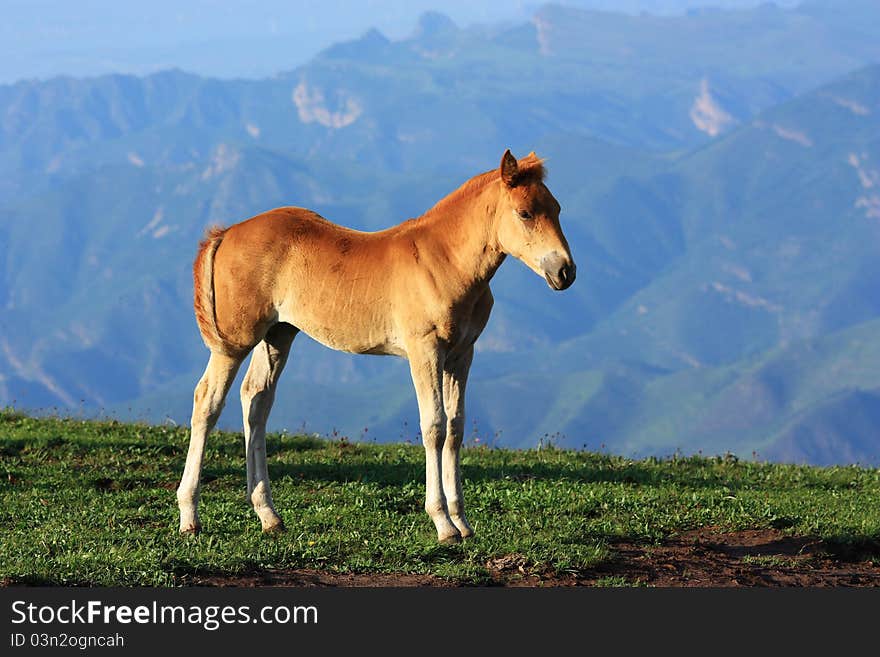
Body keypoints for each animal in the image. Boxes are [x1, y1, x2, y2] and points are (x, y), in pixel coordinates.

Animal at [178, 150, 576, 544]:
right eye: (525, 213)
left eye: (557, 208)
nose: (565, 272)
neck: (445, 261)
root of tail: (226, 232)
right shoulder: (425, 351)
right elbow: (434, 426)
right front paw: (443, 523)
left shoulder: (462, 354)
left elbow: (456, 429)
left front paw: (463, 522)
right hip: (234, 342)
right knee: (207, 401)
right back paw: (190, 516)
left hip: (278, 334)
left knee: (256, 401)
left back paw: (269, 515)